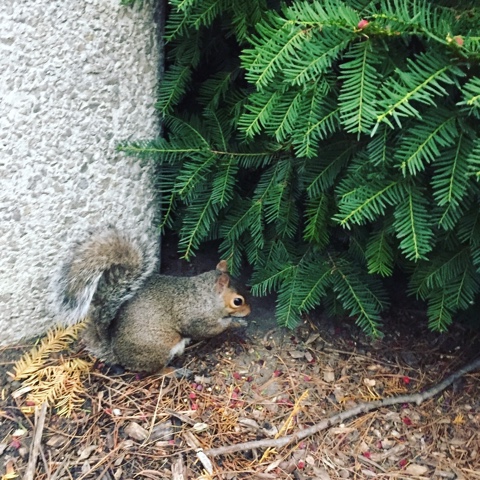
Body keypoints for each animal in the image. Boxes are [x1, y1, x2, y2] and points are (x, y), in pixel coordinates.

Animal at [53, 226, 251, 374]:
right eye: (237, 301)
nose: (249, 310)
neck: (207, 296)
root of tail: (117, 354)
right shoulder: (196, 318)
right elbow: (209, 329)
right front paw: (235, 323)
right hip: (159, 349)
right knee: (154, 371)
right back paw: (173, 371)